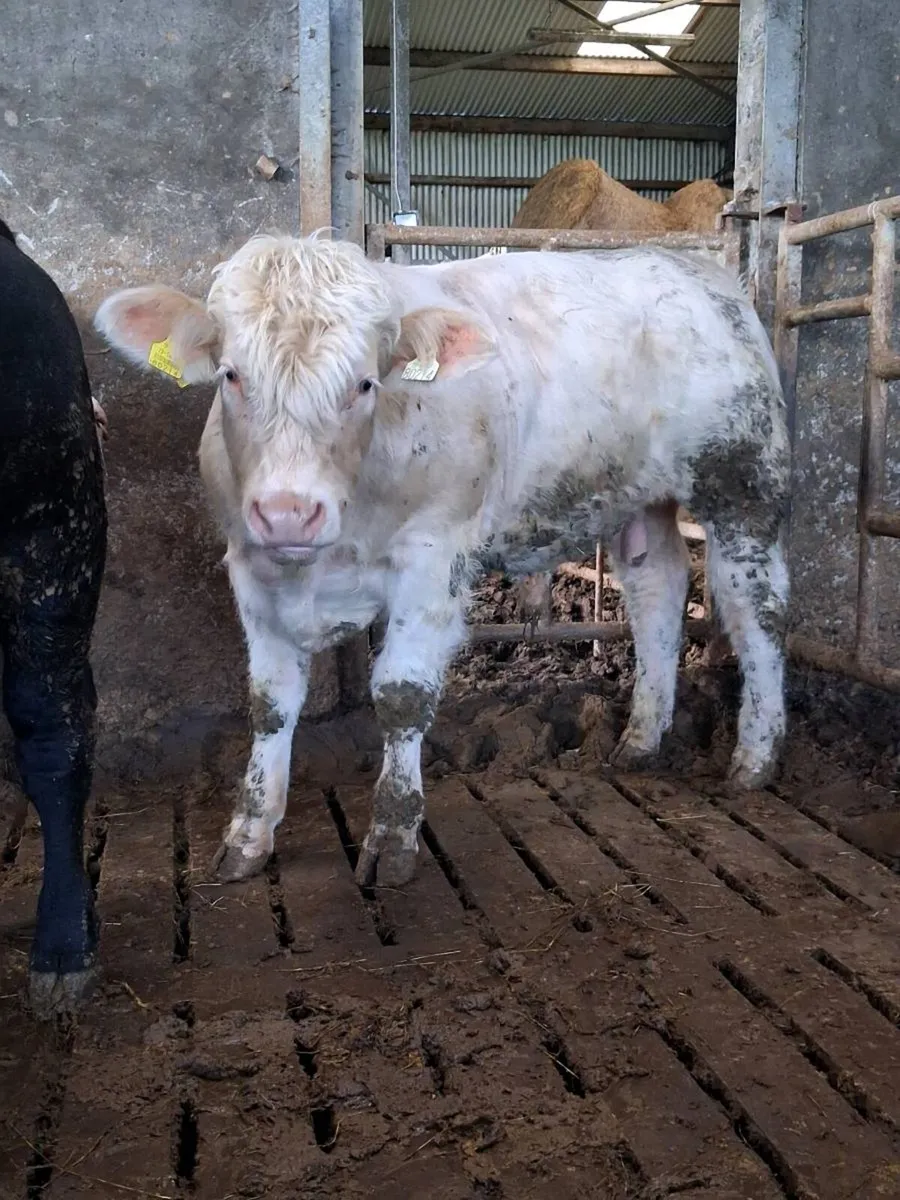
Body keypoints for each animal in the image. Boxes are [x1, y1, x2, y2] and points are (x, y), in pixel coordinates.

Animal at [95, 234, 789, 890]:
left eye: (365, 383)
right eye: (231, 376)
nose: (289, 511)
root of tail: (696, 268)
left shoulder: (434, 558)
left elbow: (402, 696)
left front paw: (393, 836)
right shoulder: (249, 564)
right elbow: (269, 703)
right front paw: (249, 832)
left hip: (745, 482)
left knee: (759, 610)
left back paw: (755, 756)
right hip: (638, 496)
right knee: (658, 593)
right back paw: (641, 739)